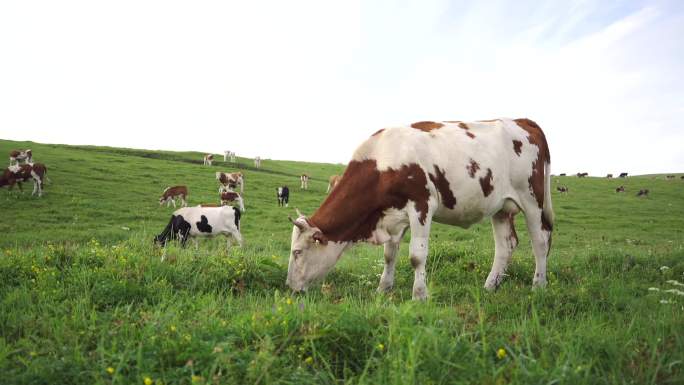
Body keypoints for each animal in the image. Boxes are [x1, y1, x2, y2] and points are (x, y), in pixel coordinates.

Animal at [286, 118, 552, 298]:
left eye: (297, 252)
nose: (289, 287)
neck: (384, 159)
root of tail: (522, 120)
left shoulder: (421, 206)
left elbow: (416, 255)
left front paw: (419, 295)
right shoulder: (394, 215)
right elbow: (389, 254)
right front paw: (383, 288)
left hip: (532, 199)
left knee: (540, 241)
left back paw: (538, 286)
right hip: (501, 207)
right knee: (506, 245)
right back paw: (490, 286)